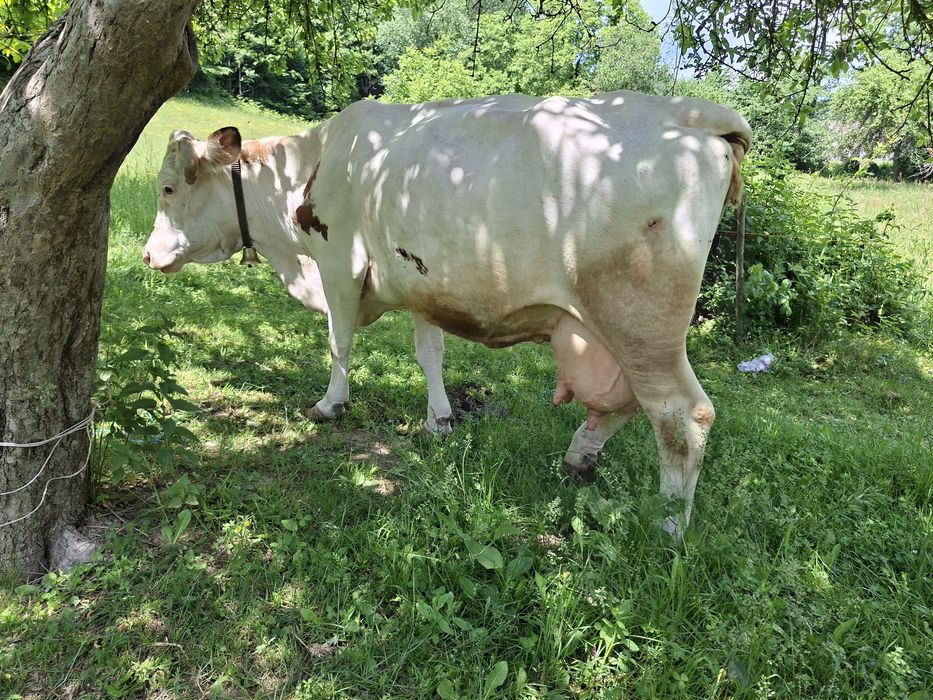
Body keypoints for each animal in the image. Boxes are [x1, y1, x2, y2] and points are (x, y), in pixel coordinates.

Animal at [145, 90, 751, 537]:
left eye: (169, 188)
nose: (149, 255)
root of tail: (693, 113)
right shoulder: (421, 283)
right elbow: (429, 353)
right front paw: (439, 418)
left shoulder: (340, 263)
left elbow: (340, 342)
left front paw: (330, 404)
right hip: (607, 330)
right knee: (626, 401)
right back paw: (580, 456)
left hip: (638, 318)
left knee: (681, 414)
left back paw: (669, 528)